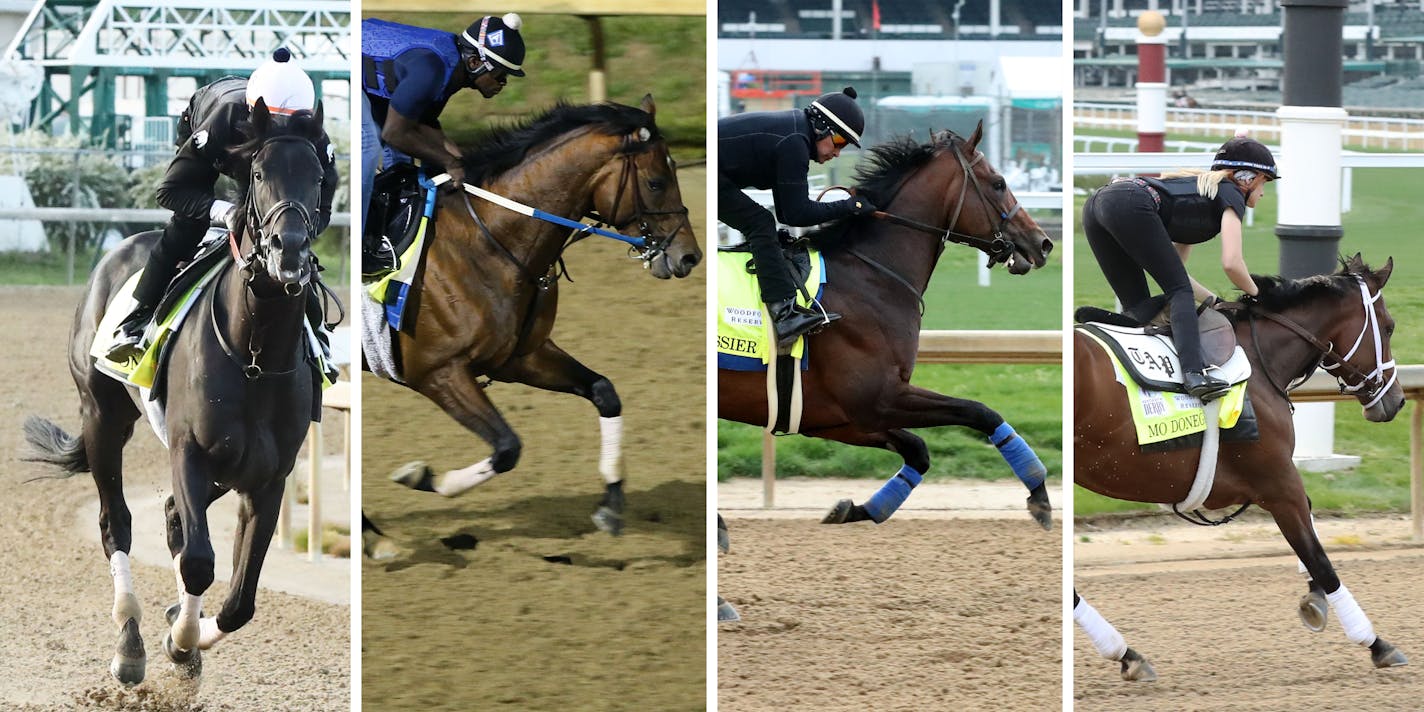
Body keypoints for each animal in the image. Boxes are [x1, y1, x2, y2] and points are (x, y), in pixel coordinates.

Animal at [22, 100, 330, 683]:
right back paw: (130, 641)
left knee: (171, 518)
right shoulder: (190, 452)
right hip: (103, 417)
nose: (290, 250)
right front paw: (177, 639)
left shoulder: (268, 477)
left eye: (319, 177)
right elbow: (199, 562)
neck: (254, 357)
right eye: (258, 175)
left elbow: (239, 600)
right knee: (116, 523)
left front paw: (187, 641)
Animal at [370, 96, 697, 535]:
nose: (690, 256)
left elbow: (605, 392)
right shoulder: (438, 372)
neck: (487, 242)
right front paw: (422, 476)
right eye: (657, 182)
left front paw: (612, 502)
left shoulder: (519, 356)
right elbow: (508, 448)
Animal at [717, 123, 1053, 529]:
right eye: (999, 183)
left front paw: (854, 510)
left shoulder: (833, 415)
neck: (872, 275)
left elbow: (918, 450)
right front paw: (1039, 491)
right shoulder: (878, 398)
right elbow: (981, 412)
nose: (1043, 242)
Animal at [1070, 256, 1406, 672]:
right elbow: (1319, 558)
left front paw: (1315, 597)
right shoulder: (1277, 483)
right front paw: (1375, 642)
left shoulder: (1264, 483)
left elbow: (1311, 533)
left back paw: (1125, 653)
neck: (1261, 362)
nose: (1396, 400)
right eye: (1389, 326)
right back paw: (1122, 650)